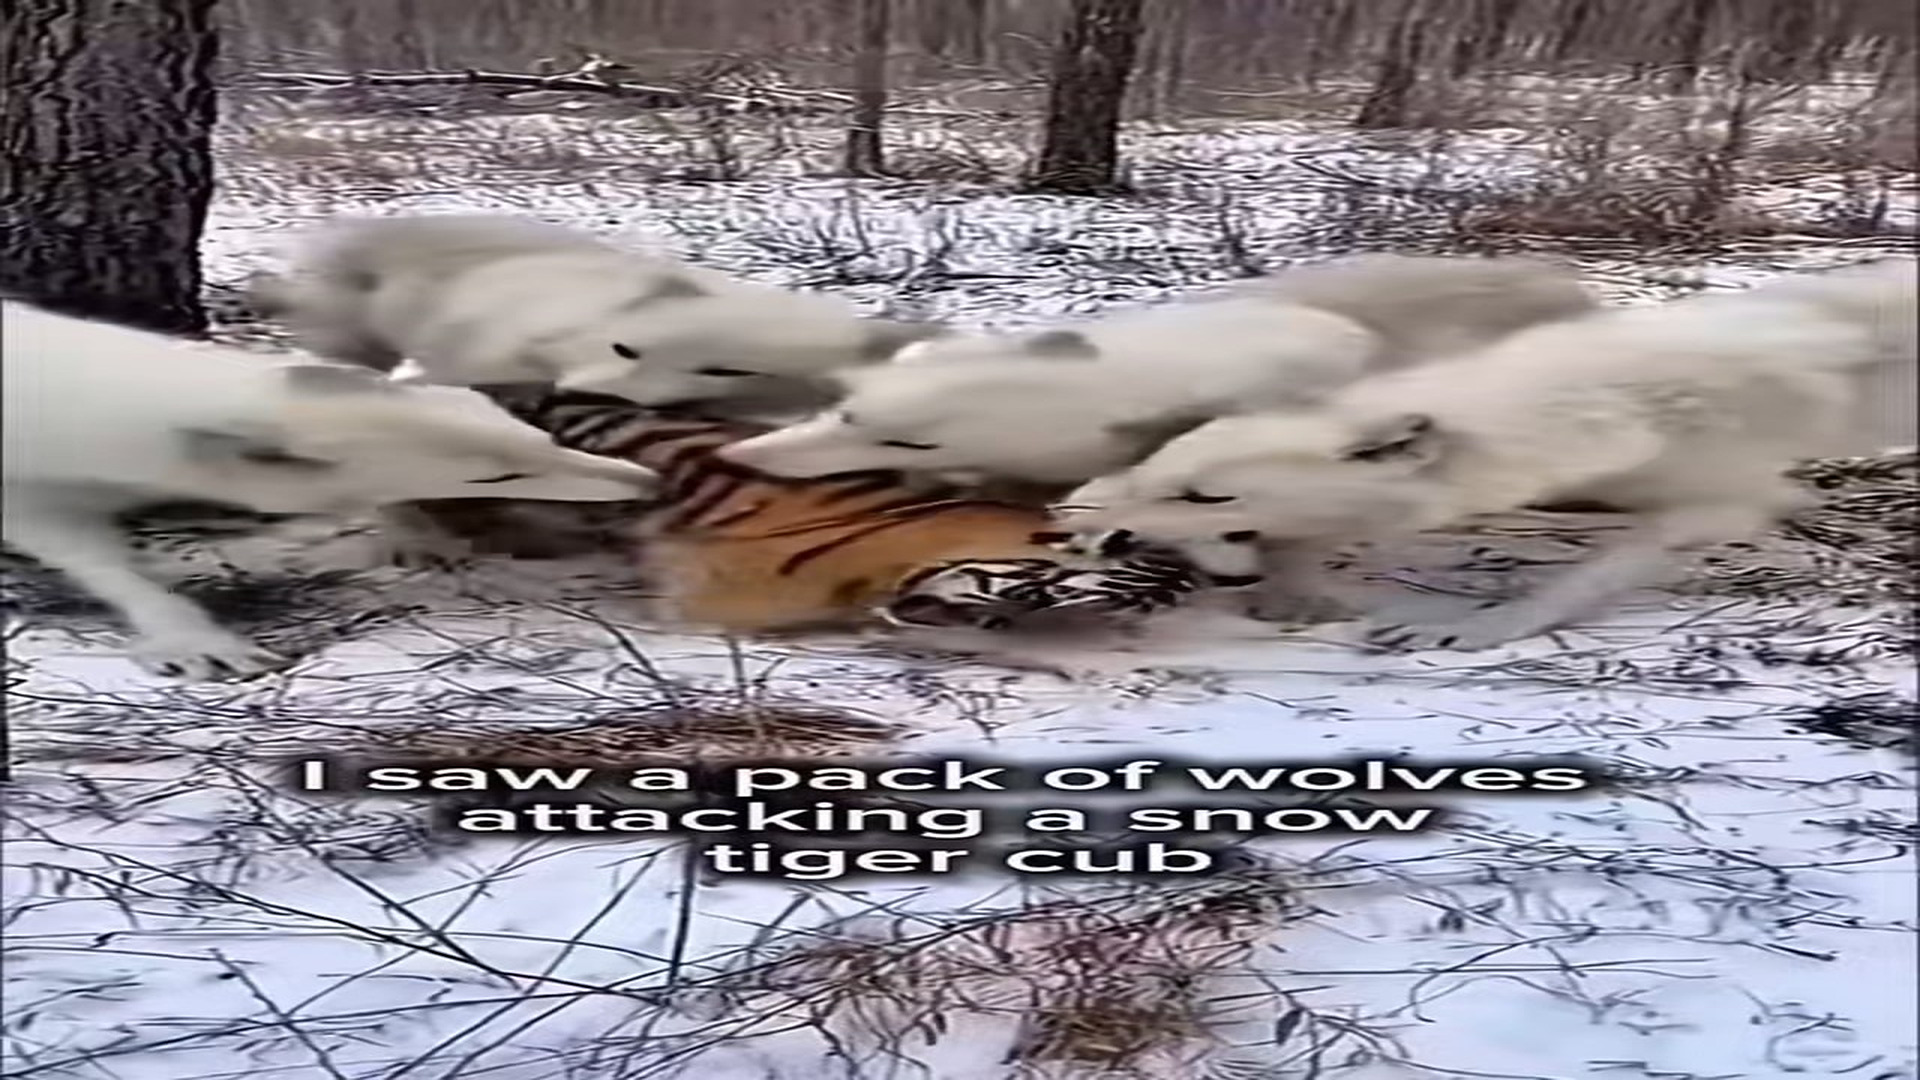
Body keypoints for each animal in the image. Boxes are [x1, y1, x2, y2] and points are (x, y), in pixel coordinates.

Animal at [2, 300, 658, 680]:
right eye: (497, 477)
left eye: (535, 436)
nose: (647, 483)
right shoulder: (33, 500)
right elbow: (111, 571)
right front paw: (194, 638)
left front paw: (416, 535)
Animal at [1051, 258, 1919, 648]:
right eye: (1167, 470)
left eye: (1208, 499)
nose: (1080, 529)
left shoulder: (1724, 502)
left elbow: (1582, 580)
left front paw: (1481, 629)